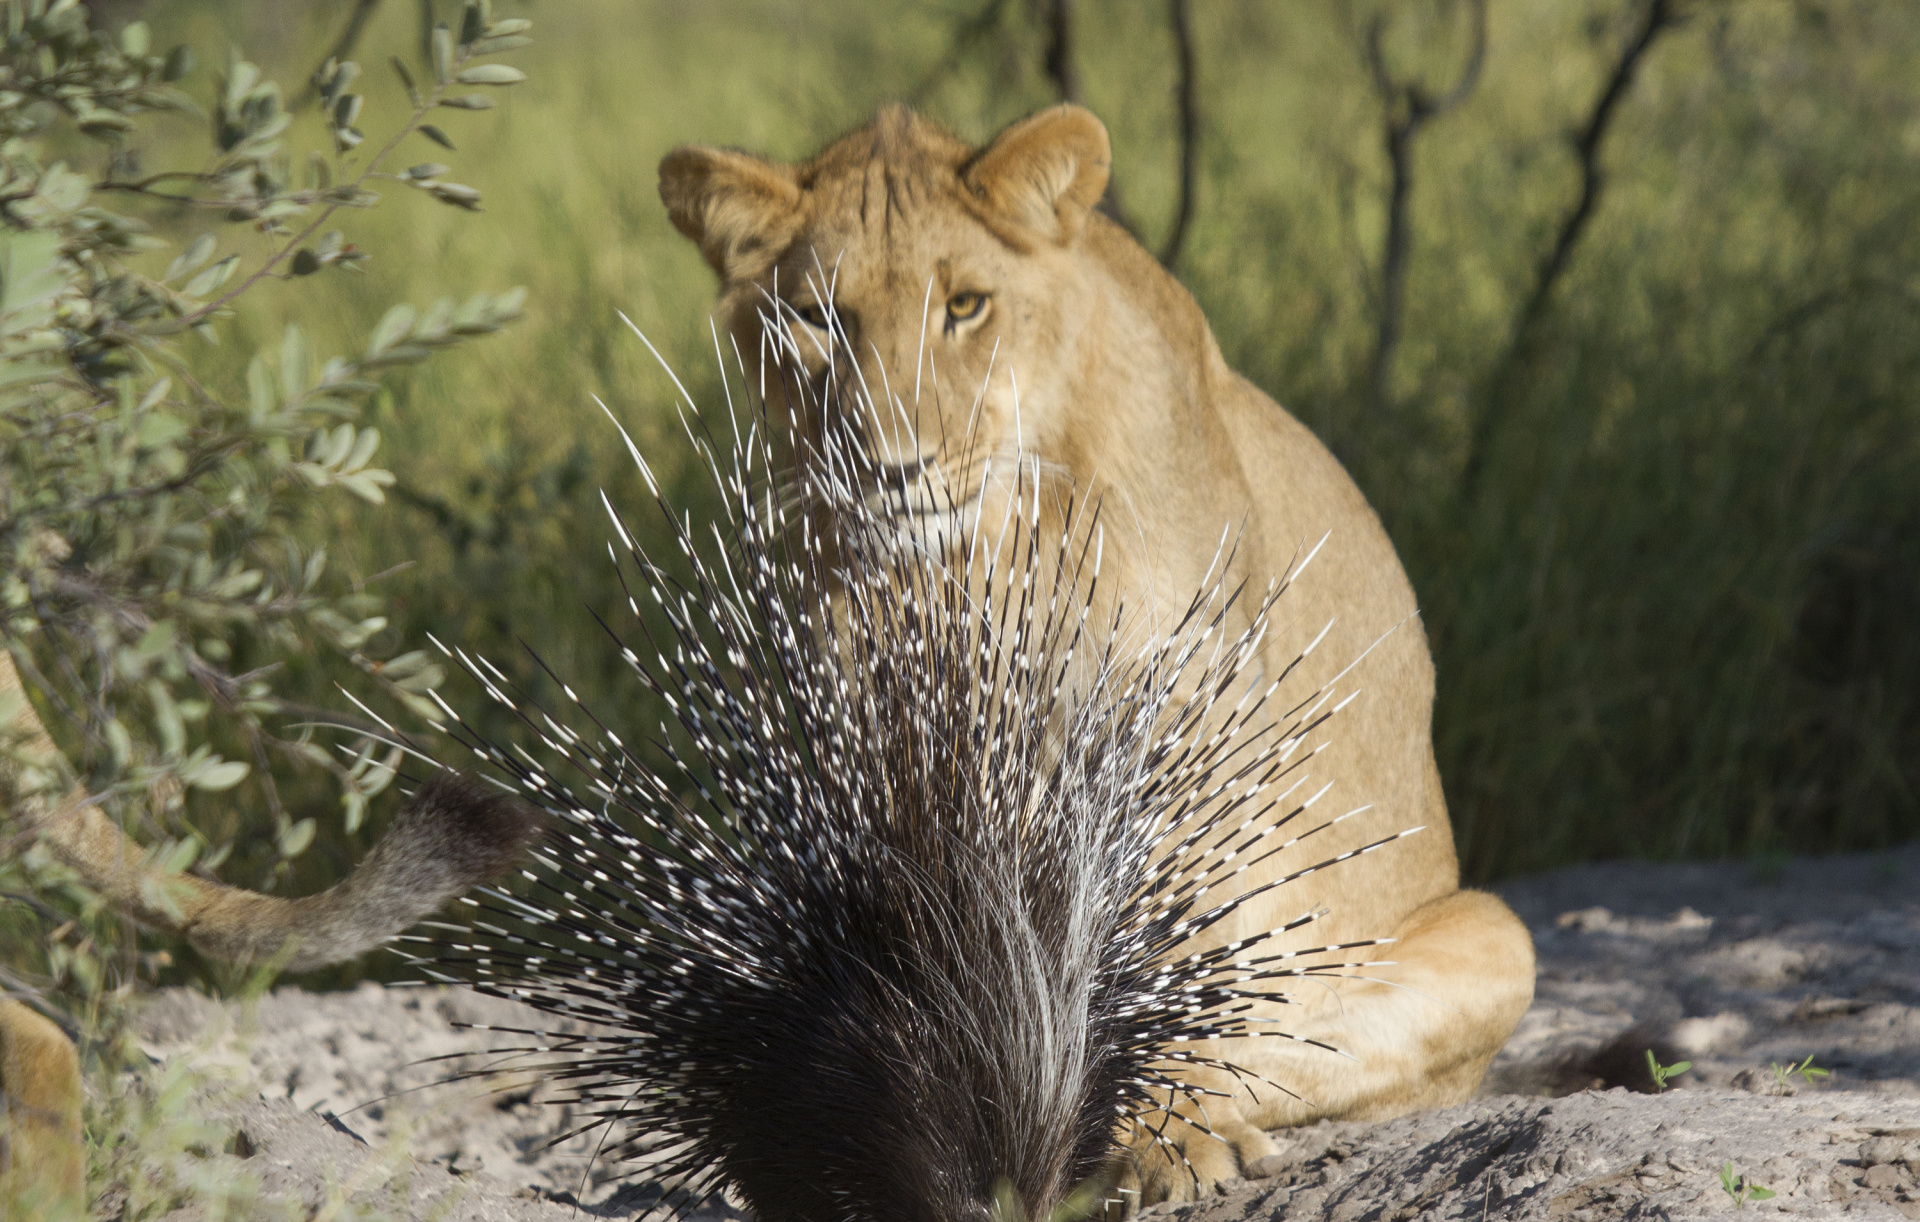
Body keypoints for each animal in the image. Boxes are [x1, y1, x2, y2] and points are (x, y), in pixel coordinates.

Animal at [668, 102, 1536, 1206]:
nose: (889, 468)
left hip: (1492, 933)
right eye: (817, 320)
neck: (970, 559)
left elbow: (1182, 953)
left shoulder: (1187, 731)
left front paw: (1167, 1136)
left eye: (966, 305)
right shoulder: (868, 748)